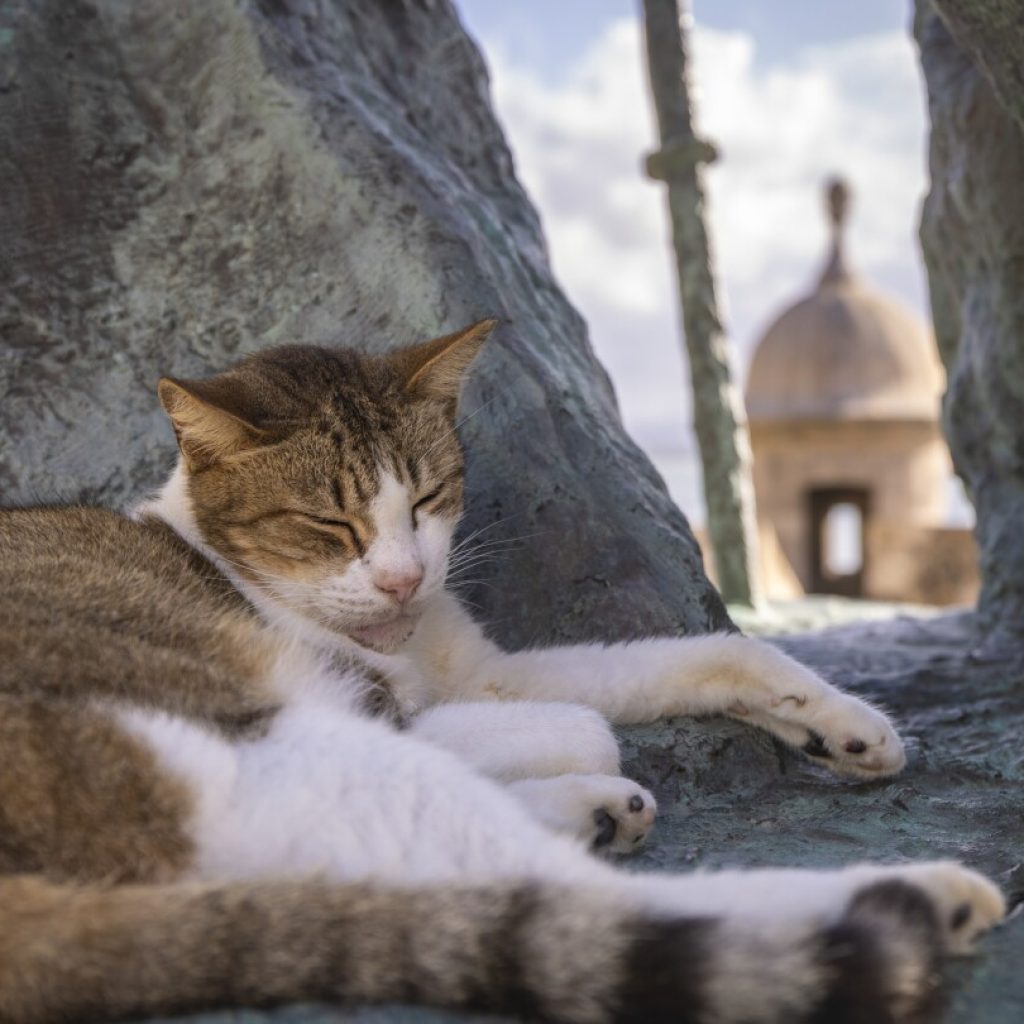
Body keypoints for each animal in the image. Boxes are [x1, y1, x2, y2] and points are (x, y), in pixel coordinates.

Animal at [0, 319, 1007, 1024]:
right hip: (240, 738)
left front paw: (840, 722)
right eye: (330, 526)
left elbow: (701, 654)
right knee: (575, 908)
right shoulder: (382, 705)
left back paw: (593, 813)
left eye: (428, 499)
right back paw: (918, 900)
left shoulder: (480, 669)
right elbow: (587, 725)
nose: (404, 577)